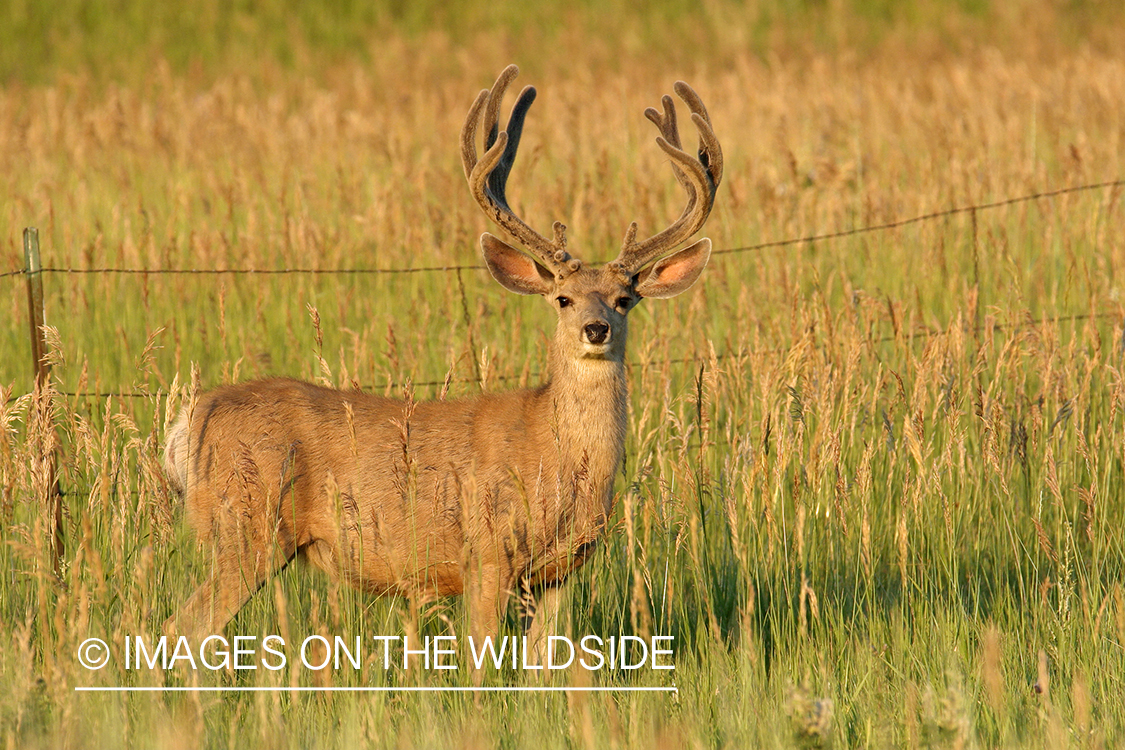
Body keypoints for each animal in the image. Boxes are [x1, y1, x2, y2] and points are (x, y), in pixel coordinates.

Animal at [162, 64, 722, 668]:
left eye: (624, 299)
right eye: (563, 299)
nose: (596, 329)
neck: (557, 455)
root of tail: (196, 415)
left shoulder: (557, 574)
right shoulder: (488, 552)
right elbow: (480, 661)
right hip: (247, 526)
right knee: (180, 627)